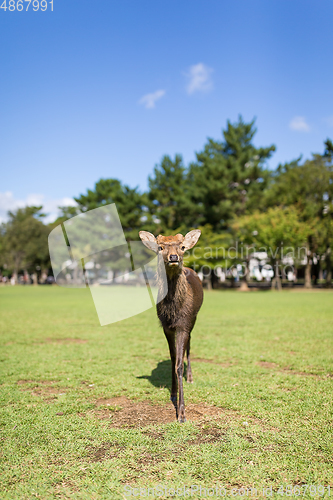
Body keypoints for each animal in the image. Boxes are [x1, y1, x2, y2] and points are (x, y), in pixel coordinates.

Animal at [137, 229, 202, 422]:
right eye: (160, 247)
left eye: (182, 247)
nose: (174, 257)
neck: (174, 312)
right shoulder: (166, 326)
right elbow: (173, 360)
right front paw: (173, 394)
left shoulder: (184, 324)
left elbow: (179, 364)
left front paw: (181, 414)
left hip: (194, 318)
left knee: (190, 345)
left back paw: (190, 377)